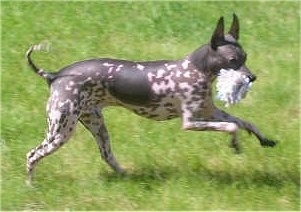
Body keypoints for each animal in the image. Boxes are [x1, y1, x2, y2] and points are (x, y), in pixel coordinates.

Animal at [24, 14, 276, 184]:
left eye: (245, 57)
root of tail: (54, 75)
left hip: (96, 126)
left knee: (106, 155)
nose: (252, 77)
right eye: (233, 60)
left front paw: (263, 139)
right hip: (61, 130)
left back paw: (126, 175)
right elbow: (231, 126)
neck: (195, 69)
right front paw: (235, 144)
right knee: (32, 155)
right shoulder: (191, 122)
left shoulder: (209, 112)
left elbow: (243, 122)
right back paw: (30, 186)